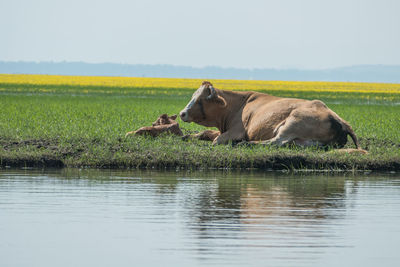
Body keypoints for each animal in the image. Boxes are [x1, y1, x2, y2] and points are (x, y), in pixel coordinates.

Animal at [180, 80, 368, 154]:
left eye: (199, 100)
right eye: (193, 96)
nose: (182, 113)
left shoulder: (236, 131)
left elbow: (215, 140)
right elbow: (204, 134)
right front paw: (187, 136)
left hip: (292, 122)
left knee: (276, 142)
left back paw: (247, 144)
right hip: (306, 141)